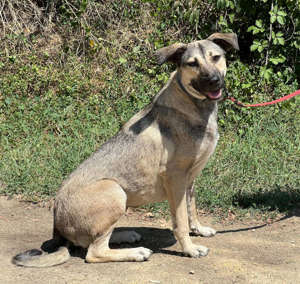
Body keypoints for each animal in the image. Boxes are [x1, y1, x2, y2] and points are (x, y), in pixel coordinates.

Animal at [13, 33, 239, 266]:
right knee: (94, 252)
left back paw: (124, 235)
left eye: (215, 57)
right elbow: (180, 222)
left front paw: (199, 229)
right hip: (114, 190)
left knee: (93, 241)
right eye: (192, 64)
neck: (193, 103)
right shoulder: (175, 177)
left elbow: (191, 208)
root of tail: (57, 225)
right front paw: (190, 249)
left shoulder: (190, 177)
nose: (214, 81)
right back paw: (136, 252)